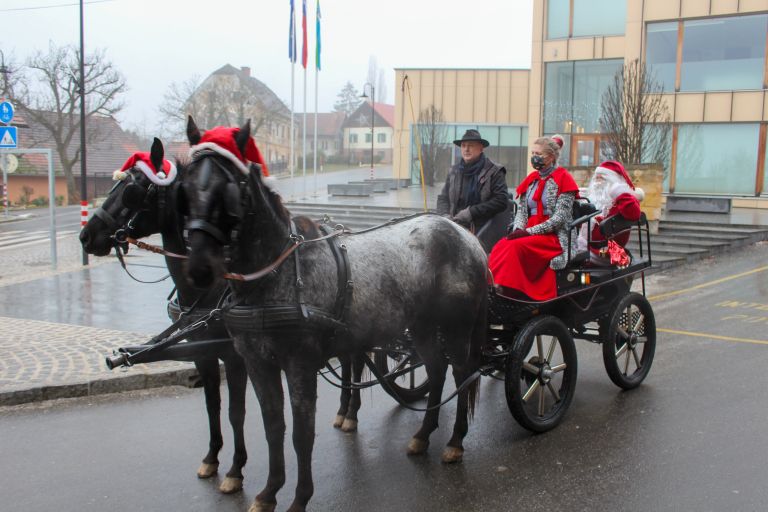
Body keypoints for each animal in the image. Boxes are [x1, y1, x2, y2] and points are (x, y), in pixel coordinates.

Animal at [78, 138, 248, 494]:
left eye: (131, 190)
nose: (85, 237)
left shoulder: (235, 356)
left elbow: (236, 412)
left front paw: (236, 470)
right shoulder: (203, 353)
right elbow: (212, 405)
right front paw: (211, 458)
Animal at [182, 117, 486, 512]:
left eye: (231, 189)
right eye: (185, 185)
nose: (200, 269)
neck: (277, 273)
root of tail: (465, 235)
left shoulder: (299, 364)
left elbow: (301, 434)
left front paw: (299, 497)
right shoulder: (257, 363)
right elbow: (273, 428)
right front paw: (268, 492)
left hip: (457, 326)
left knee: (462, 373)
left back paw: (455, 441)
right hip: (420, 327)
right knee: (436, 370)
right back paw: (422, 435)